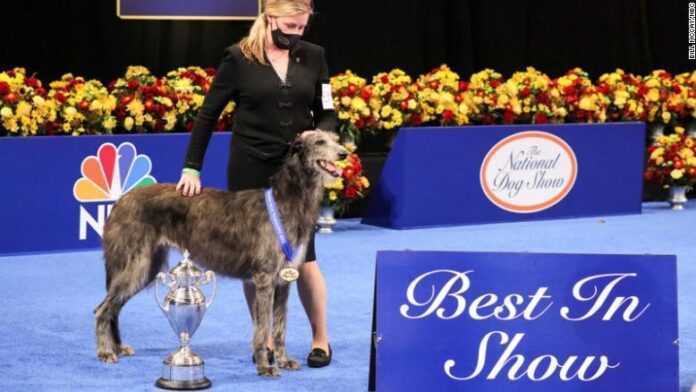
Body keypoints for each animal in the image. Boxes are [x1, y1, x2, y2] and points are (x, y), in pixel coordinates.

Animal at [94, 131, 348, 376]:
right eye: (320, 141)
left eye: (335, 139)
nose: (344, 154)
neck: (286, 200)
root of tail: (121, 201)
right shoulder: (265, 278)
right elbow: (263, 327)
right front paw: (265, 366)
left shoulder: (284, 279)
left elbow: (279, 327)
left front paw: (283, 360)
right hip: (136, 264)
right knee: (102, 309)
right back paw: (105, 352)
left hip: (148, 266)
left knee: (114, 307)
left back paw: (117, 347)